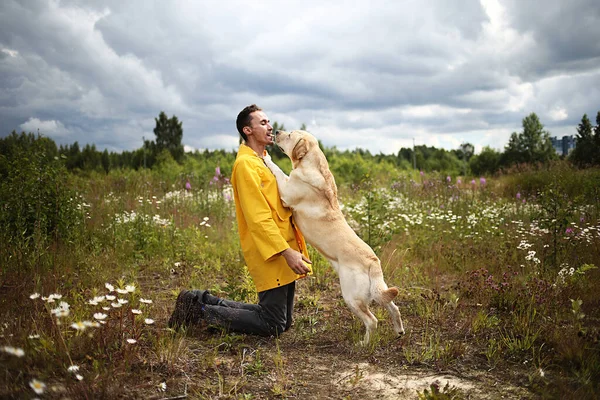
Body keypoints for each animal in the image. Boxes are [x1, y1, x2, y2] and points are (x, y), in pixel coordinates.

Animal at [264, 130, 406, 344]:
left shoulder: (287, 192)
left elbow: (279, 171)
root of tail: (373, 261)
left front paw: (266, 157)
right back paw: (399, 331)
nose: (277, 131)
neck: (313, 165)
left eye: (289, 135)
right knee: (393, 306)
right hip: (378, 289)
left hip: (351, 296)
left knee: (372, 320)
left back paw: (363, 343)